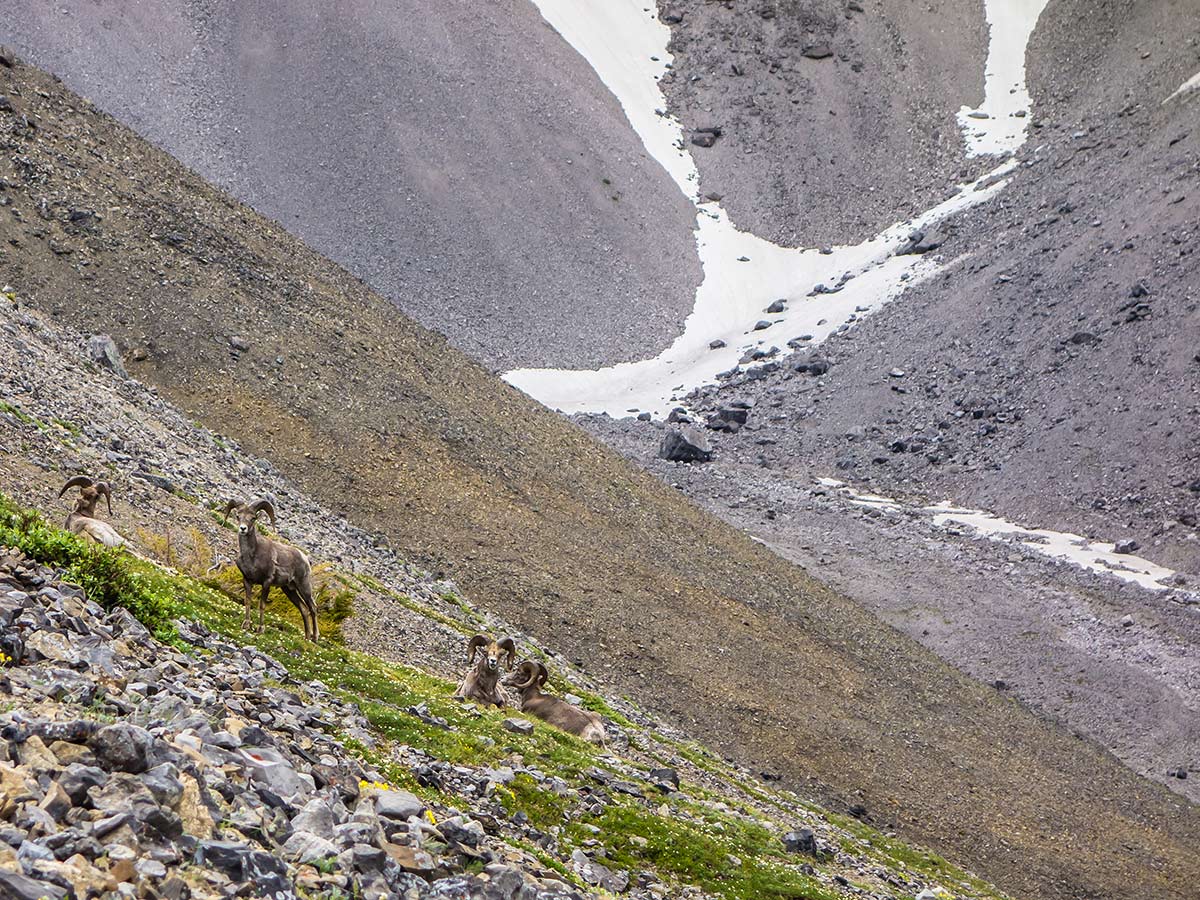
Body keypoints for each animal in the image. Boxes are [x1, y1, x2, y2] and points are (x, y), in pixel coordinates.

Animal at [222, 501, 319, 643]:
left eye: (253, 518)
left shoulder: (266, 582)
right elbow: (248, 601)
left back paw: (315, 638)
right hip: (289, 589)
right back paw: (306, 638)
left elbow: (262, 605)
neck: (252, 556)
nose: (243, 529)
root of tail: (305, 558)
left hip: (304, 587)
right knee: (304, 609)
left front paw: (260, 629)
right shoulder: (247, 580)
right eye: (238, 516)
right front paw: (246, 625)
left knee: (313, 608)